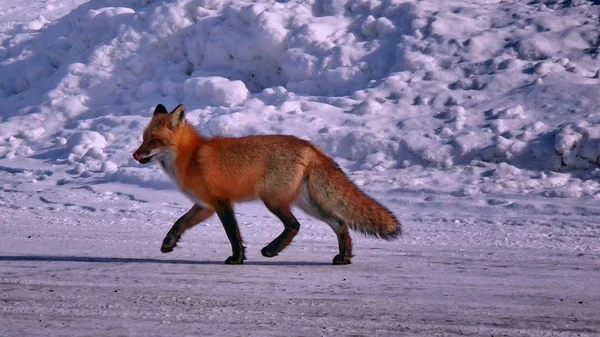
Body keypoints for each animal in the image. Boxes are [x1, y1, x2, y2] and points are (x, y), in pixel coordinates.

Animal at [132, 103, 404, 264]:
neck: (191, 157)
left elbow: (232, 232)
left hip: (273, 200)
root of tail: (308, 145)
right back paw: (344, 257)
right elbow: (179, 223)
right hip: (307, 204)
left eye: (154, 141)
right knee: (340, 223)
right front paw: (168, 244)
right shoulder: (205, 205)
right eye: (143, 139)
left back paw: (271, 250)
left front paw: (237, 258)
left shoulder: (221, 202)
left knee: (294, 225)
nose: (135, 154)